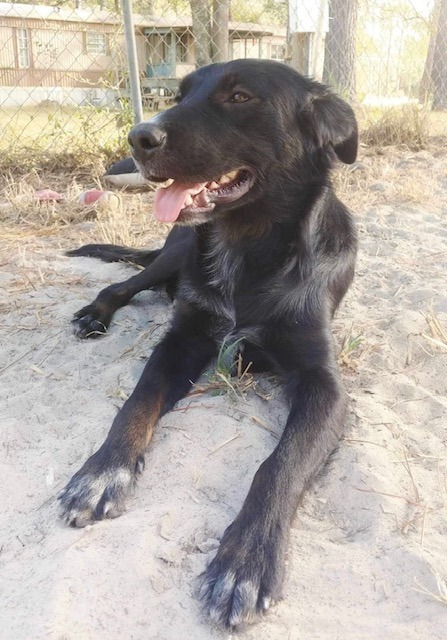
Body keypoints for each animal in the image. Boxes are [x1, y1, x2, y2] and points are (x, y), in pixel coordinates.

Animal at [60, 61, 360, 632]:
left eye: (239, 96)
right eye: (179, 95)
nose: (138, 137)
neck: (247, 247)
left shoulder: (324, 384)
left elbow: (279, 465)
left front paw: (245, 561)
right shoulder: (184, 339)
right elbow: (136, 404)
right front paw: (102, 472)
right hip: (173, 254)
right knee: (124, 284)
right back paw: (95, 314)